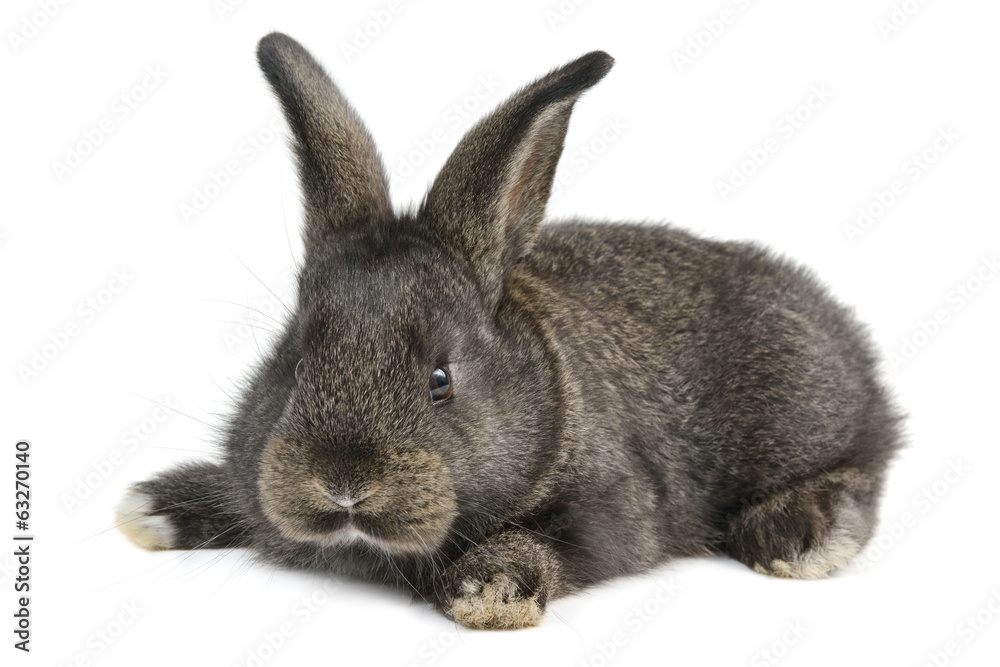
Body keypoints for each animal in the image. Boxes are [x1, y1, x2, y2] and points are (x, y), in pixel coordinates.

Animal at [116, 32, 902, 630]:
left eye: (441, 380)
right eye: (294, 363)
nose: (344, 482)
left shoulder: (613, 510)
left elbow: (546, 543)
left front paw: (489, 592)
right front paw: (152, 509)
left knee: (863, 463)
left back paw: (798, 535)